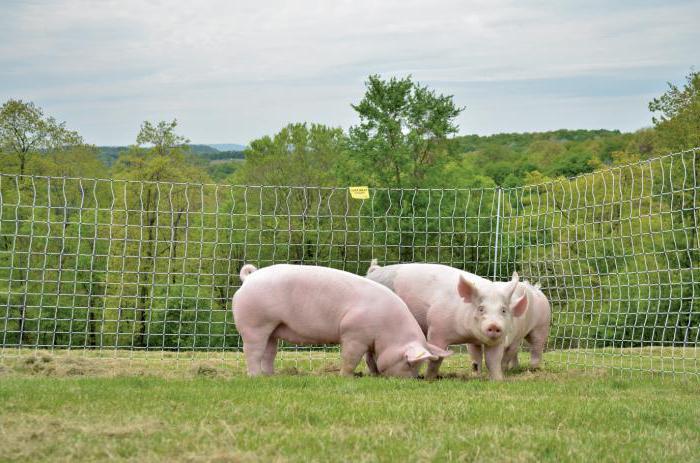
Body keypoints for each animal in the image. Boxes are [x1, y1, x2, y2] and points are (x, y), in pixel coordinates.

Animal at [232, 264, 452, 376]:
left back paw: (271, 376)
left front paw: (373, 375)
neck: (388, 331)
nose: (410, 380)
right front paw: (346, 376)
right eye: (410, 364)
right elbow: (350, 358)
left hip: (273, 327)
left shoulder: (370, 341)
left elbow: (371, 359)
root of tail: (249, 278)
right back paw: (255, 377)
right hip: (255, 323)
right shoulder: (353, 333)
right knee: (253, 351)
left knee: (269, 352)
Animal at [366, 260, 524, 380]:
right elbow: (436, 358)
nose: (494, 325)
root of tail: (372, 273)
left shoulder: (498, 340)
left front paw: (498, 380)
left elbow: (494, 360)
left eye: (503, 310)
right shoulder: (436, 330)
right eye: (481, 308)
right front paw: (429, 379)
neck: (466, 335)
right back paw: (375, 374)